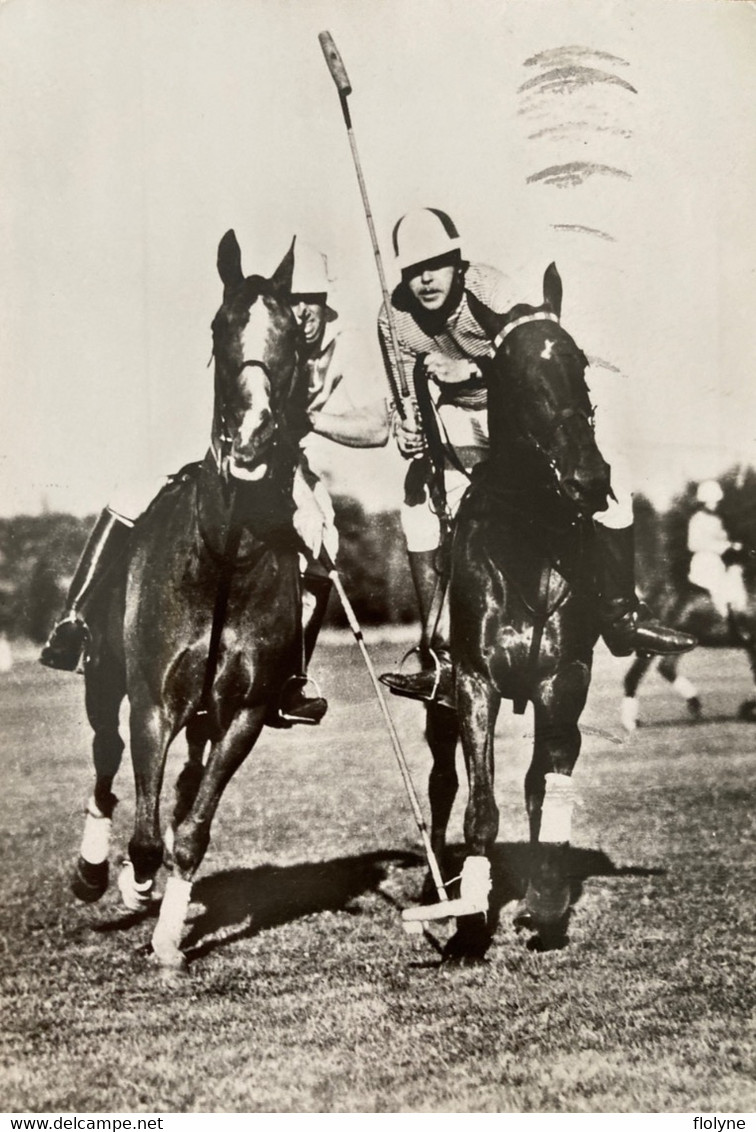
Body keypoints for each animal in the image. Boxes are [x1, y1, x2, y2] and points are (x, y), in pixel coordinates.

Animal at [70, 229, 307, 973]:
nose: (255, 439)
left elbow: (192, 828)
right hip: (103, 677)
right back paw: (95, 871)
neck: (224, 554)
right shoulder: (152, 698)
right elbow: (146, 832)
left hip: (206, 715)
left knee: (178, 790)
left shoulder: (246, 713)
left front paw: (171, 936)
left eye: (295, 334)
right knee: (106, 758)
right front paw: (134, 883)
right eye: (220, 326)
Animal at [418, 262, 615, 955]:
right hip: (440, 702)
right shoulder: (475, 681)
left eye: (579, 362)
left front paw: (547, 899)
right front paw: (470, 920)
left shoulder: (564, 678)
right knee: (442, 783)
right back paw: (440, 885)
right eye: (509, 373)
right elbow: (481, 804)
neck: (526, 539)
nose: (589, 478)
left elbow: (545, 788)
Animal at [620, 575, 756, 733]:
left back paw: (694, 703)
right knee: (635, 675)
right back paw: (630, 722)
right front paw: (747, 709)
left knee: (663, 668)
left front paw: (747, 708)